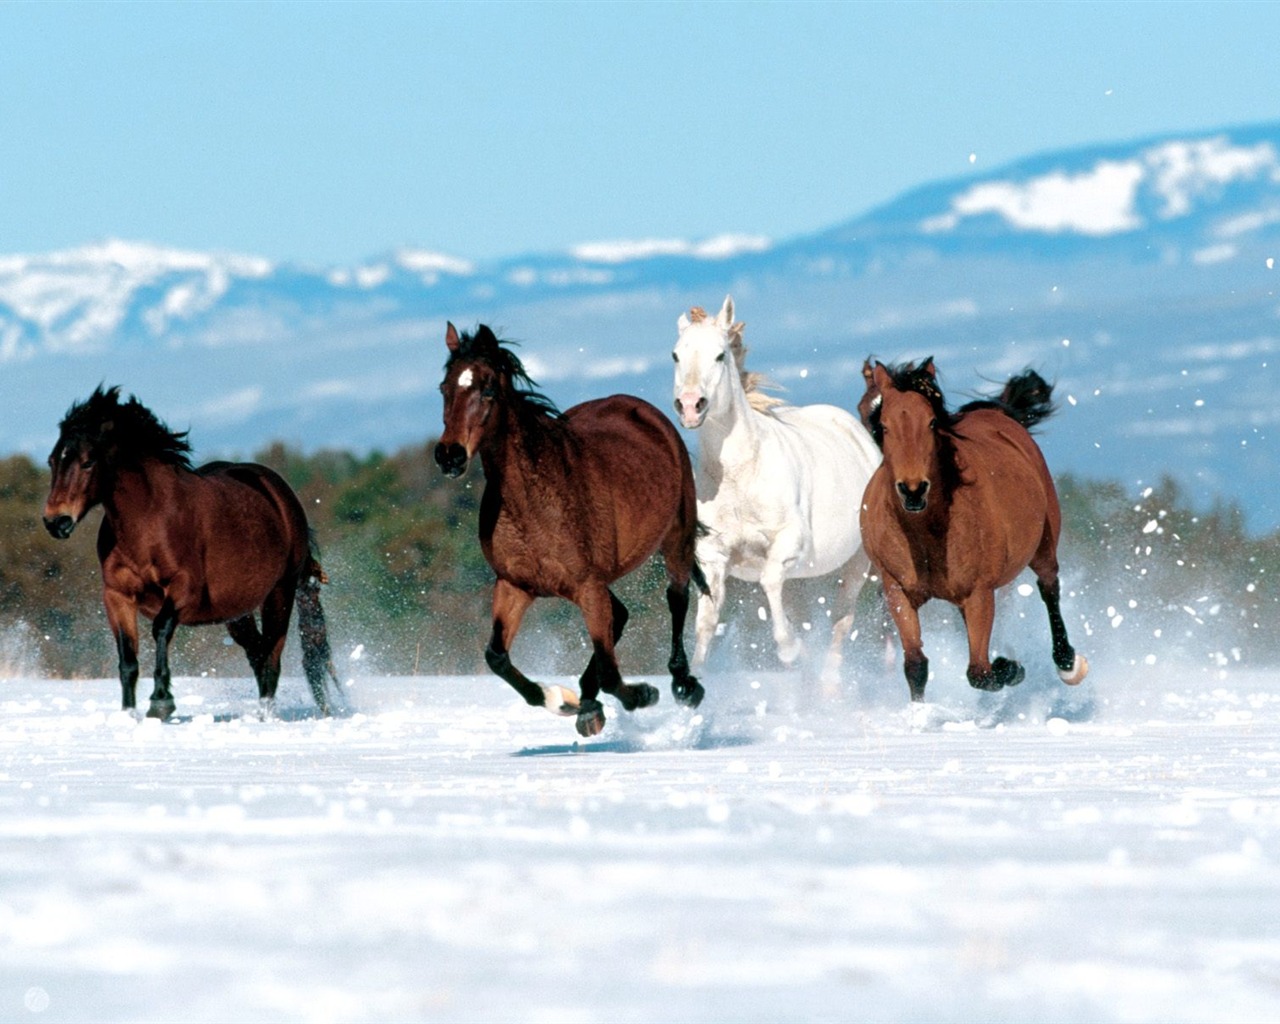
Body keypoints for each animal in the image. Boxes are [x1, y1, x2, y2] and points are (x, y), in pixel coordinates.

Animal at [43, 386, 337, 721]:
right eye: (52, 461)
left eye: (88, 461)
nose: (56, 521)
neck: (147, 520)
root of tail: (281, 496)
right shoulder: (117, 595)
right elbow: (127, 658)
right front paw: (129, 714)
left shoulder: (185, 589)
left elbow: (160, 628)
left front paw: (161, 702)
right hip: (238, 612)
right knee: (257, 653)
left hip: (280, 593)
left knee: (271, 657)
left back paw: (265, 716)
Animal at [435, 323, 706, 732]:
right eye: (444, 388)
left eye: (488, 390)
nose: (449, 456)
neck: (533, 503)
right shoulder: (515, 585)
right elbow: (496, 657)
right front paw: (564, 701)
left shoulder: (587, 586)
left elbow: (611, 672)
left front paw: (643, 693)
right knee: (621, 616)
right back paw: (588, 704)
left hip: (677, 537)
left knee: (677, 598)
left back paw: (683, 685)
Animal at [670, 299, 880, 686]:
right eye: (676, 355)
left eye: (720, 355)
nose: (690, 406)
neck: (741, 475)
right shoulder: (713, 557)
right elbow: (706, 623)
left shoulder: (788, 544)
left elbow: (769, 583)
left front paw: (788, 650)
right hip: (801, 579)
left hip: (857, 563)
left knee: (840, 623)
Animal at [860, 360, 1090, 706]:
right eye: (884, 425)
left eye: (931, 423)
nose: (913, 490)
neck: (926, 533)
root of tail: (997, 413)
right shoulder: (897, 591)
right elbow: (915, 664)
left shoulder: (979, 593)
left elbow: (979, 671)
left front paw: (1010, 667)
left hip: (1043, 545)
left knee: (1049, 587)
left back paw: (1068, 664)